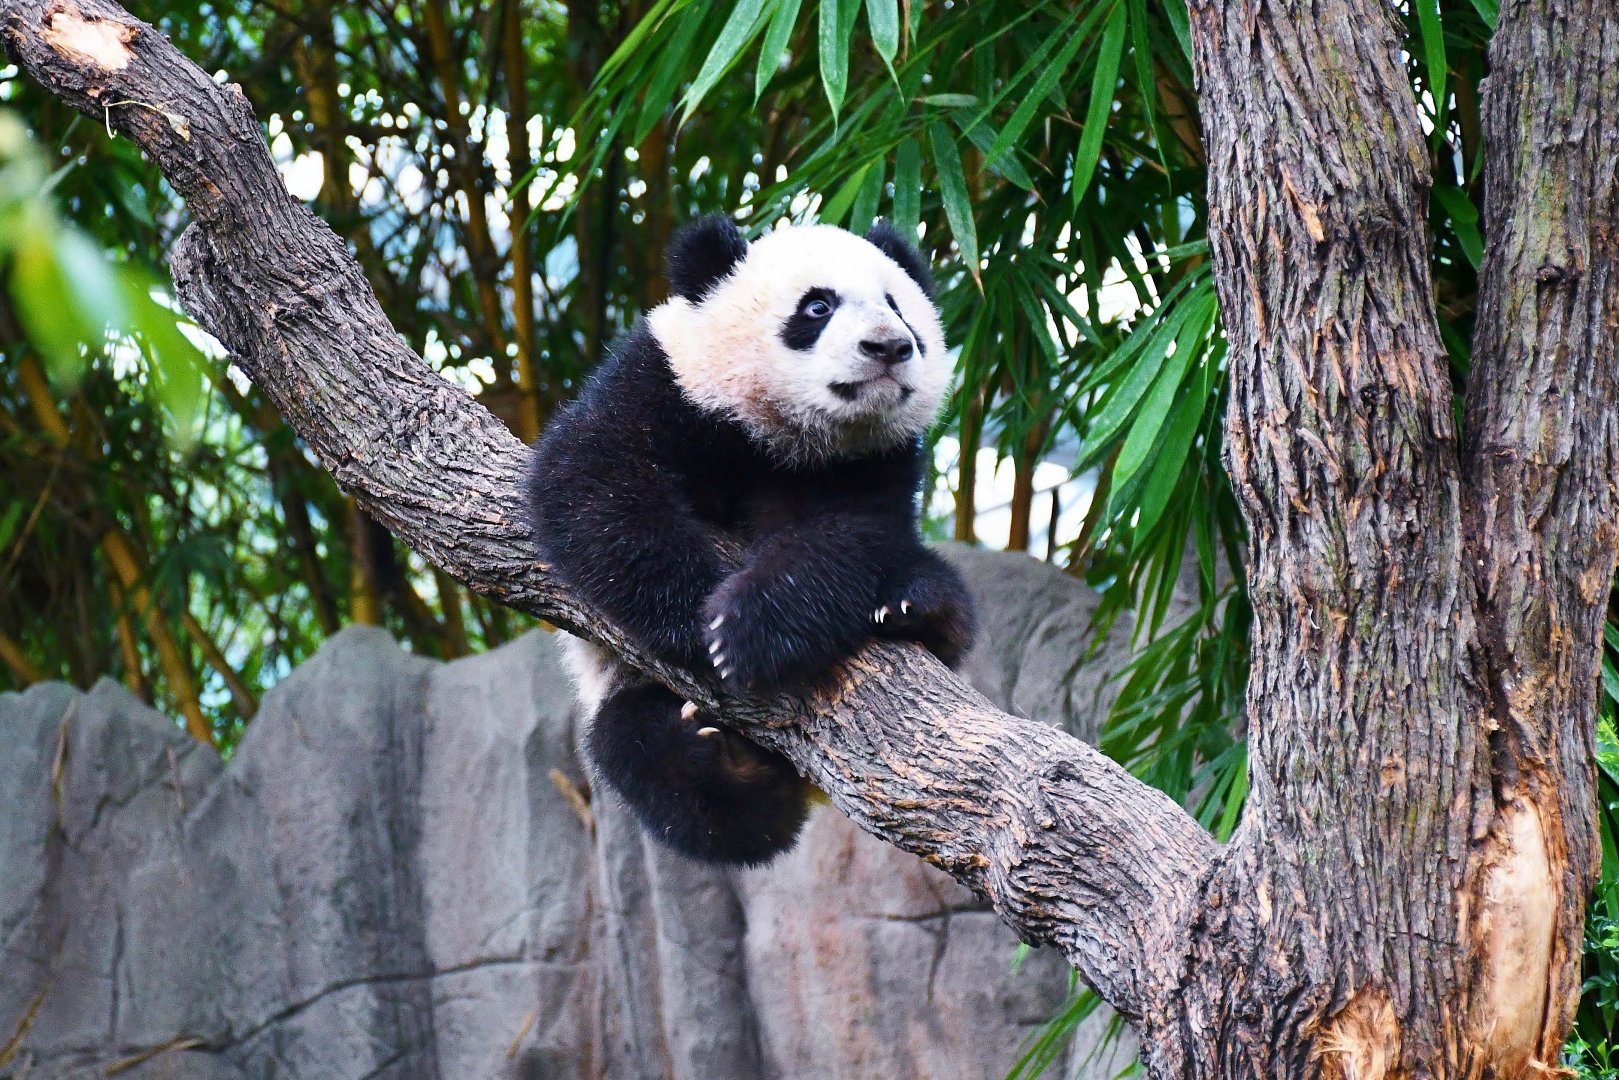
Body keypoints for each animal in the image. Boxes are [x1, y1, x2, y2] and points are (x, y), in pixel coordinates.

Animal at [525, 215, 975, 865]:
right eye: (817, 307)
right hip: (618, 683)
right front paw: (696, 625)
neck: (782, 434)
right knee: (658, 767)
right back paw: (721, 758)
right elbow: (592, 482)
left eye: (897, 306)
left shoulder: (874, 460)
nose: (889, 346)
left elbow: (846, 538)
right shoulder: (663, 381)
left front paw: (748, 629)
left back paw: (915, 605)